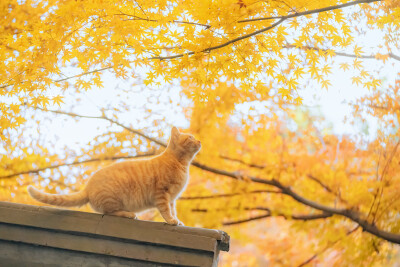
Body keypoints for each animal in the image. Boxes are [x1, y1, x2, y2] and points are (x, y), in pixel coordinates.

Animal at [27, 127, 202, 226]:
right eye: (190, 137)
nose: (199, 141)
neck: (181, 163)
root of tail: (88, 187)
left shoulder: (172, 198)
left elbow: (173, 210)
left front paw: (176, 220)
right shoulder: (162, 194)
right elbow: (166, 211)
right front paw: (171, 221)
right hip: (114, 199)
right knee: (109, 213)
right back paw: (129, 214)